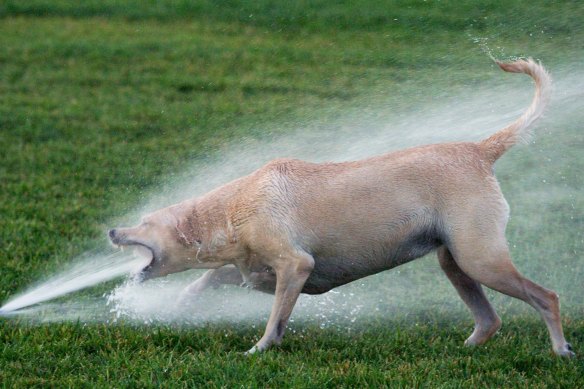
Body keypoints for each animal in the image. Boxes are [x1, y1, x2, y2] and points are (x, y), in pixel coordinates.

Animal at [109, 59, 576, 356]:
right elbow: (214, 279)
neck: (233, 208)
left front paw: (259, 348)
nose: (112, 231)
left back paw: (560, 350)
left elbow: (276, 316)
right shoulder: (253, 267)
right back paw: (466, 349)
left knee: (546, 297)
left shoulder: (294, 264)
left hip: (481, 258)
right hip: (455, 259)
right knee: (489, 319)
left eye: (145, 221)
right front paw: (180, 304)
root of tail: (479, 151)